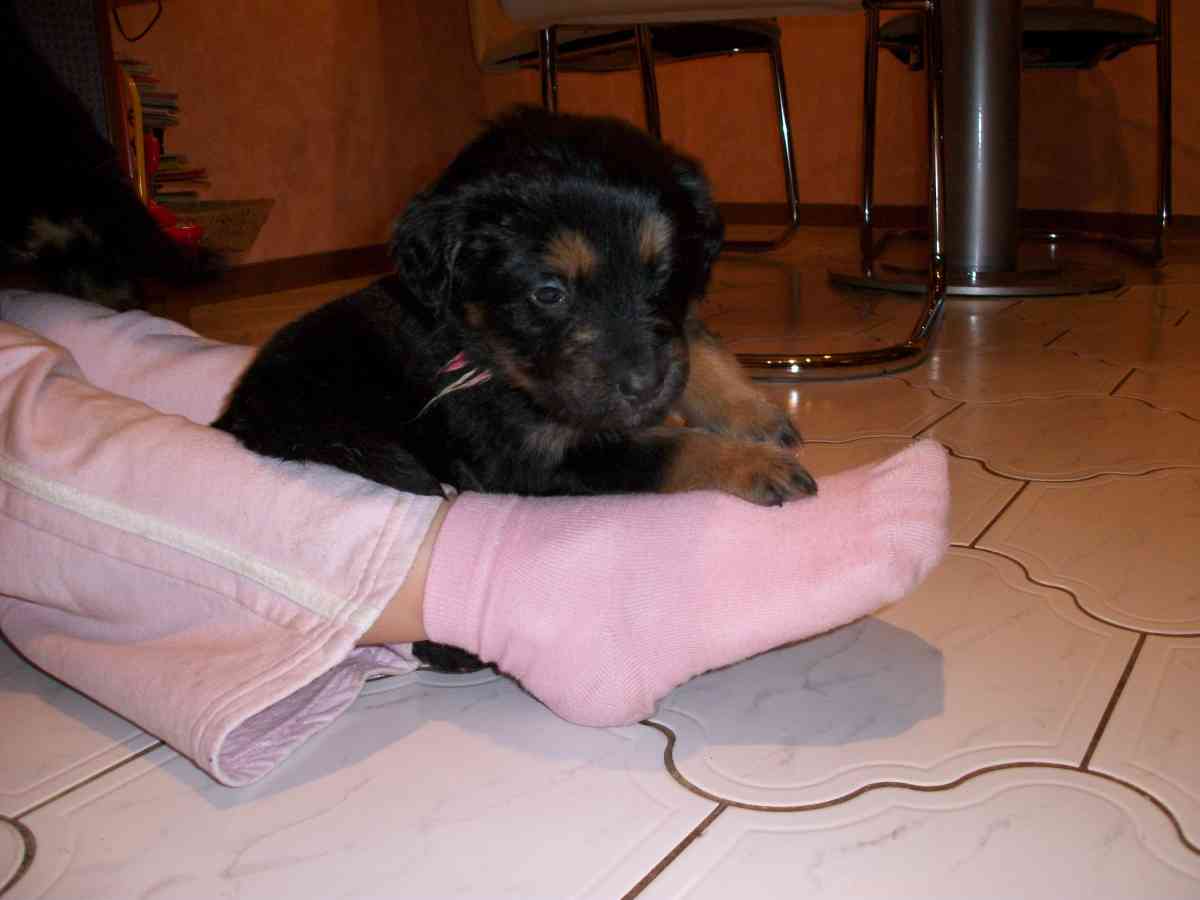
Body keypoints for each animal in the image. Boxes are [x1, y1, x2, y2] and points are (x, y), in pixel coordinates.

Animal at [213, 106, 815, 670]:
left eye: (666, 271)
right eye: (549, 293)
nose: (644, 386)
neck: (486, 353)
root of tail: (234, 419)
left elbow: (695, 339)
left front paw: (753, 413)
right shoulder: (535, 457)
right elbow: (668, 448)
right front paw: (753, 464)